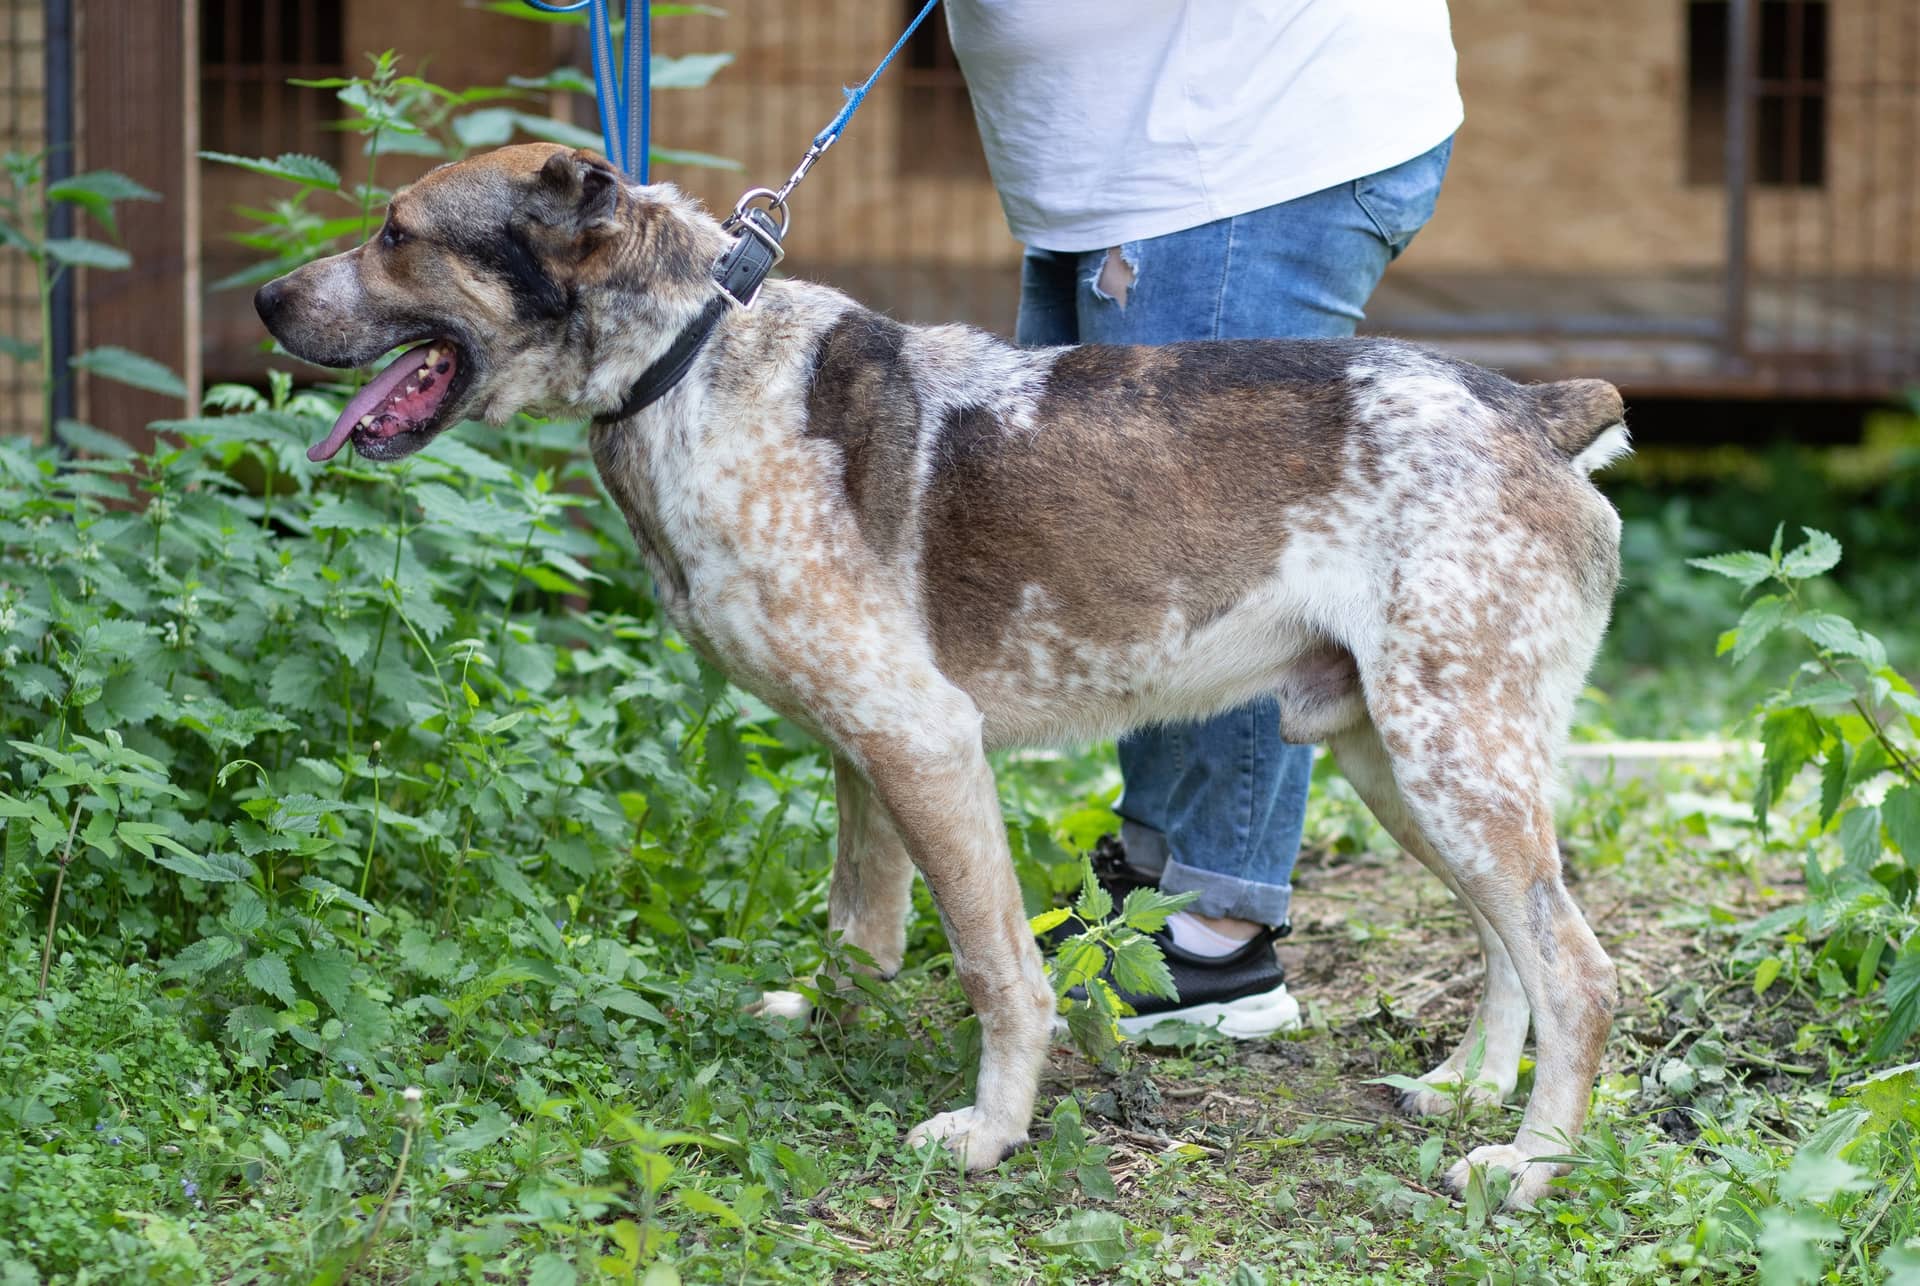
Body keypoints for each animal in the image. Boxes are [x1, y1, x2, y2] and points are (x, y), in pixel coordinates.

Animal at [251, 145, 1635, 1213]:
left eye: (397, 234)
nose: (262, 299)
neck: (690, 363)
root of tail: (1534, 404)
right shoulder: (863, 752)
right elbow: (858, 930)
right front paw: (836, 1034)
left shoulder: (926, 738)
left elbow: (993, 967)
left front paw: (991, 1132)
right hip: (1407, 759)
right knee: (1516, 939)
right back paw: (1467, 1088)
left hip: (1447, 755)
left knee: (1580, 968)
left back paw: (1529, 1165)